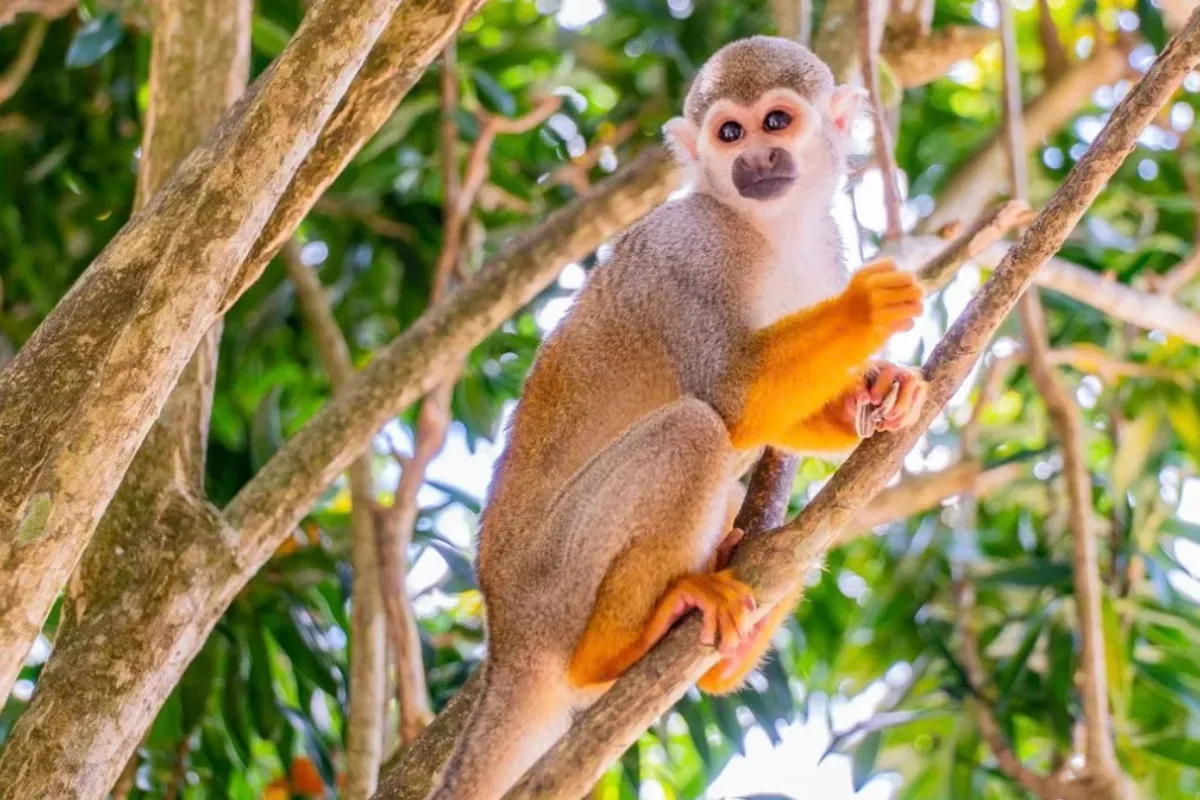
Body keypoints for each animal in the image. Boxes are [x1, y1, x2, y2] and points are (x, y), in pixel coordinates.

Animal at [427, 36, 928, 800]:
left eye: (775, 122)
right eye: (729, 134)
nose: (755, 160)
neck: (765, 229)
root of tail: (504, 638)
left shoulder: (823, 247)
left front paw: (878, 393)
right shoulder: (691, 250)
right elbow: (730, 396)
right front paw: (863, 310)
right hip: (556, 584)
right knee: (693, 432)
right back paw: (614, 650)